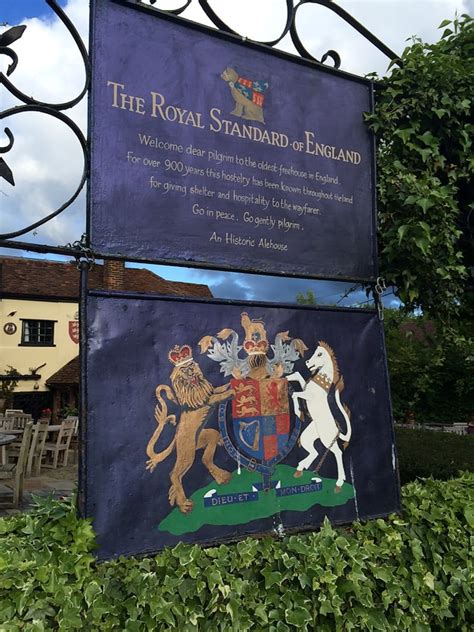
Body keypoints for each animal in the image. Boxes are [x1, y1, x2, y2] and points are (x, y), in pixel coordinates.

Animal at [145, 356, 232, 512]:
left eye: (190, 365)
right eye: (183, 369)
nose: (190, 371)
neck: (194, 386)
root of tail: (175, 438)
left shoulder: (211, 391)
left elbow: (221, 388)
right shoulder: (206, 400)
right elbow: (223, 394)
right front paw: (236, 388)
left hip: (202, 439)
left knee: (205, 458)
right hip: (187, 453)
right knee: (174, 474)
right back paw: (185, 505)